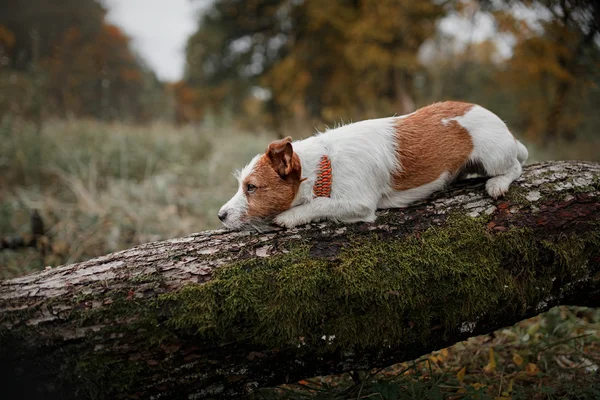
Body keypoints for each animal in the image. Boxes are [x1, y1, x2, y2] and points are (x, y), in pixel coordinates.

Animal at [218, 101, 528, 230]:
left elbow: (320, 204)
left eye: (251, 187)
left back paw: (497, 183)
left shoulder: (359, 203)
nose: (220, 215)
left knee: (515, 166)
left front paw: (290, 216)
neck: (325, 165)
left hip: (493, 156)